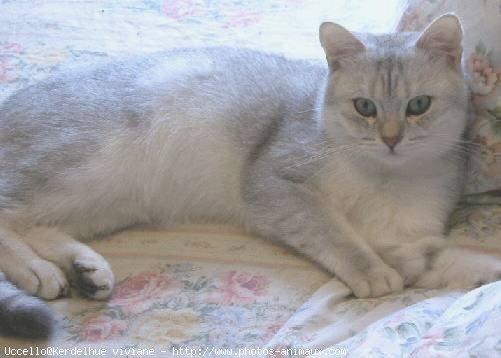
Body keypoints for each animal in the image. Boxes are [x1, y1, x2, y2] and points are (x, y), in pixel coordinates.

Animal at [0, 14, 500, 338]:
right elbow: (336, 233)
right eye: (364, 107)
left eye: (418, 105)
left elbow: (451, 261)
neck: (388, 182)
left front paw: (482, 273)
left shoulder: (408, 242)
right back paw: (37, 271)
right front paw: (372, 273)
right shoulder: (275, 184)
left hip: (106, 200)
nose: (391, 138)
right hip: (85, 165)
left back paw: (85, 271)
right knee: (10, 213)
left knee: (38, 225)